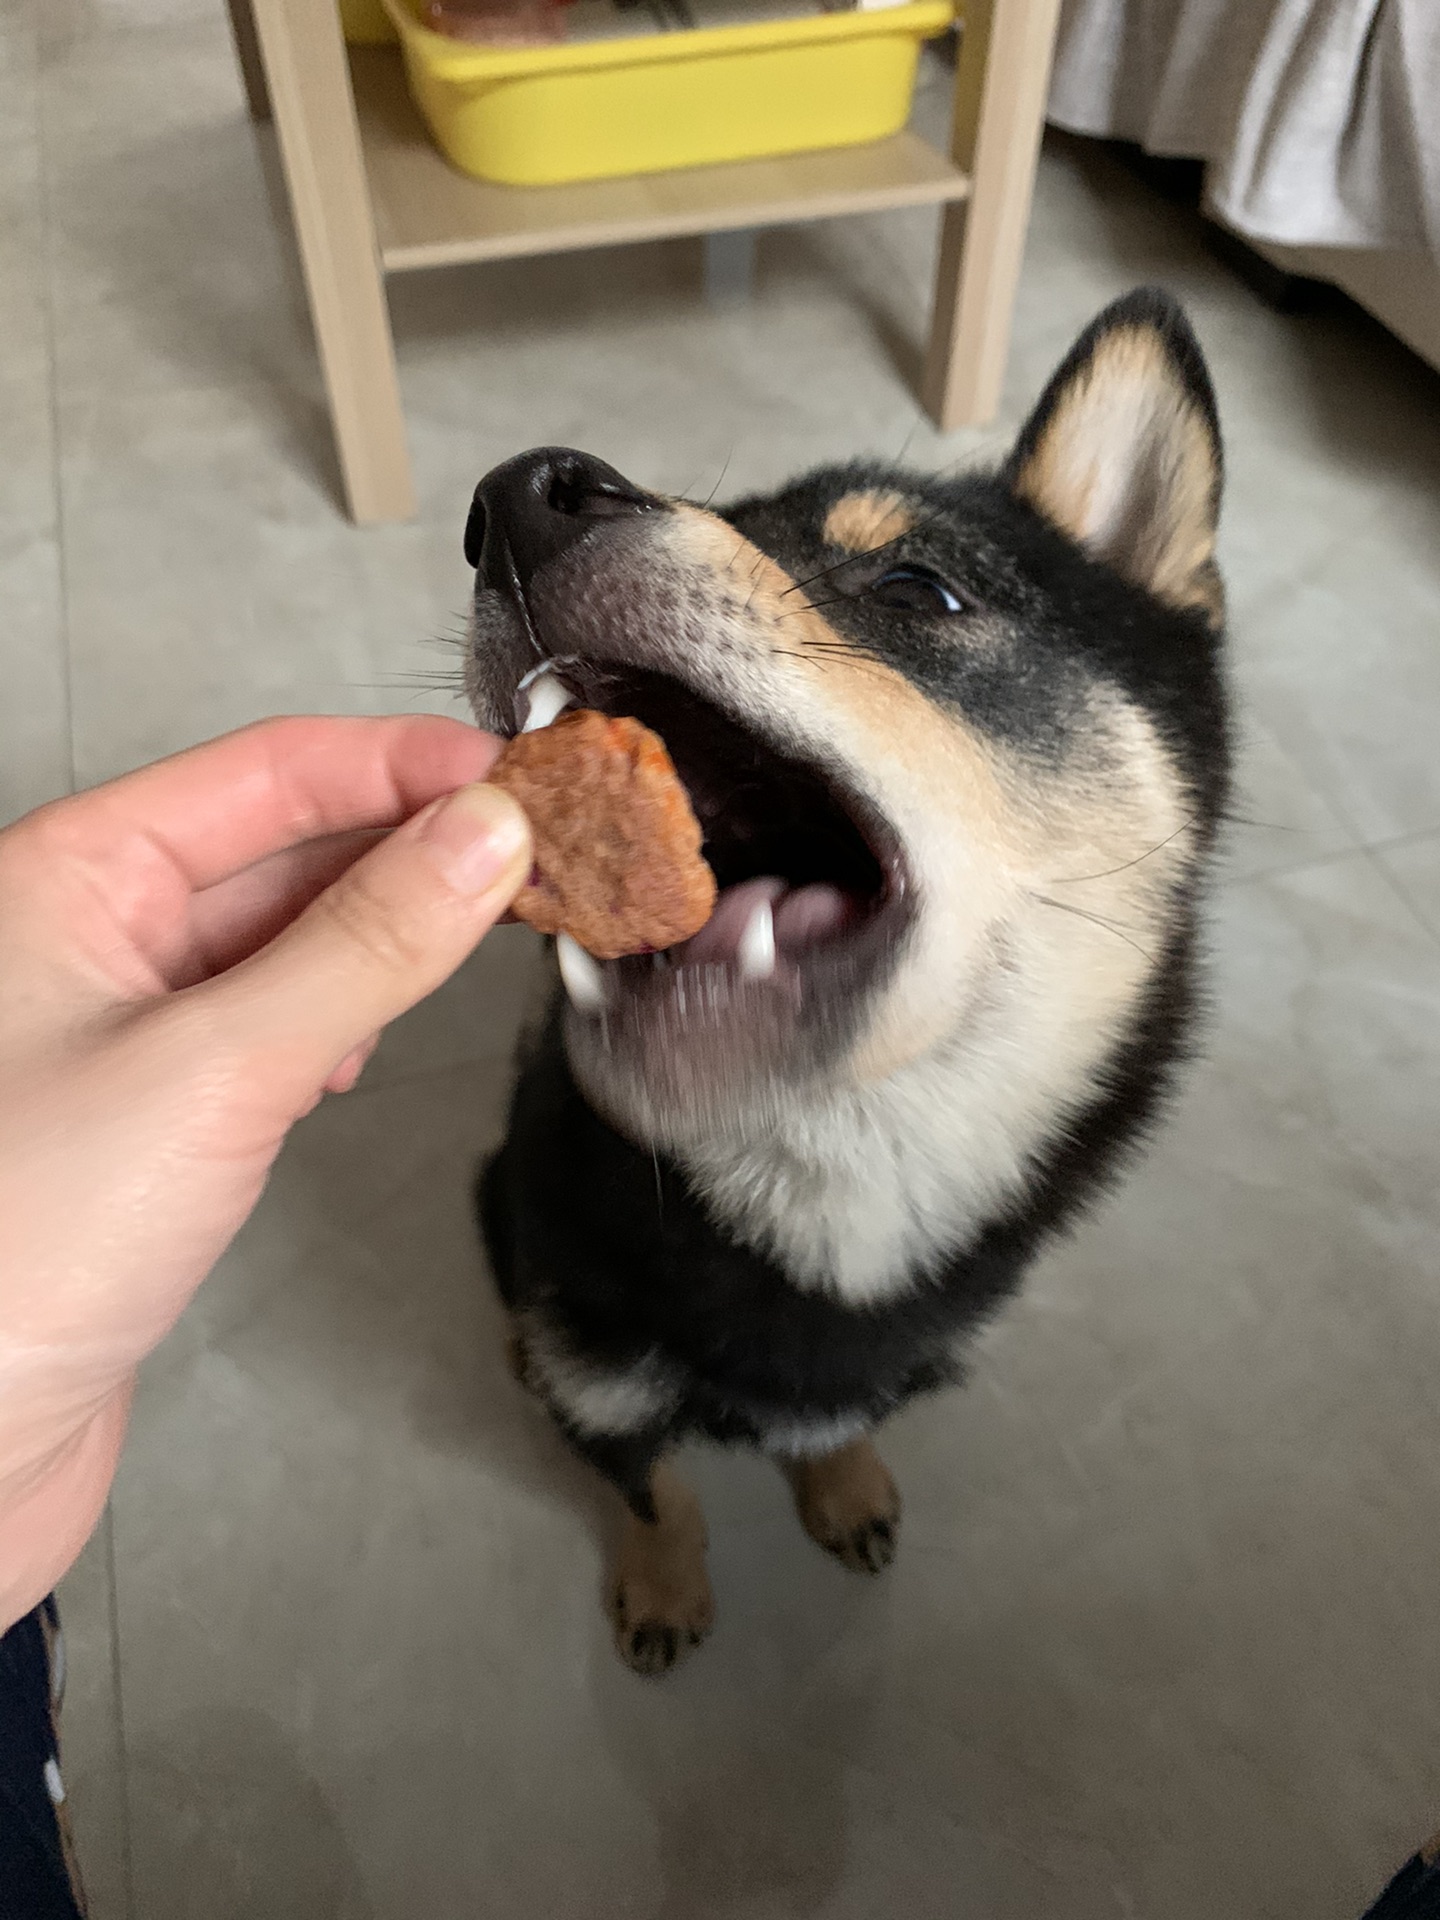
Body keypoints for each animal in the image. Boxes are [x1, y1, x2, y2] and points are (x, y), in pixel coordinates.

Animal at [468, 288, 1236, 1681]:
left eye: (918, 587)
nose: (516, 498)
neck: (828, 1213)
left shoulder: (888, 1368)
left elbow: (836, 1428)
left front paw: (842, 1485)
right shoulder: (605, 1385)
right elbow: (652, 1494)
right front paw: (665, 1588)